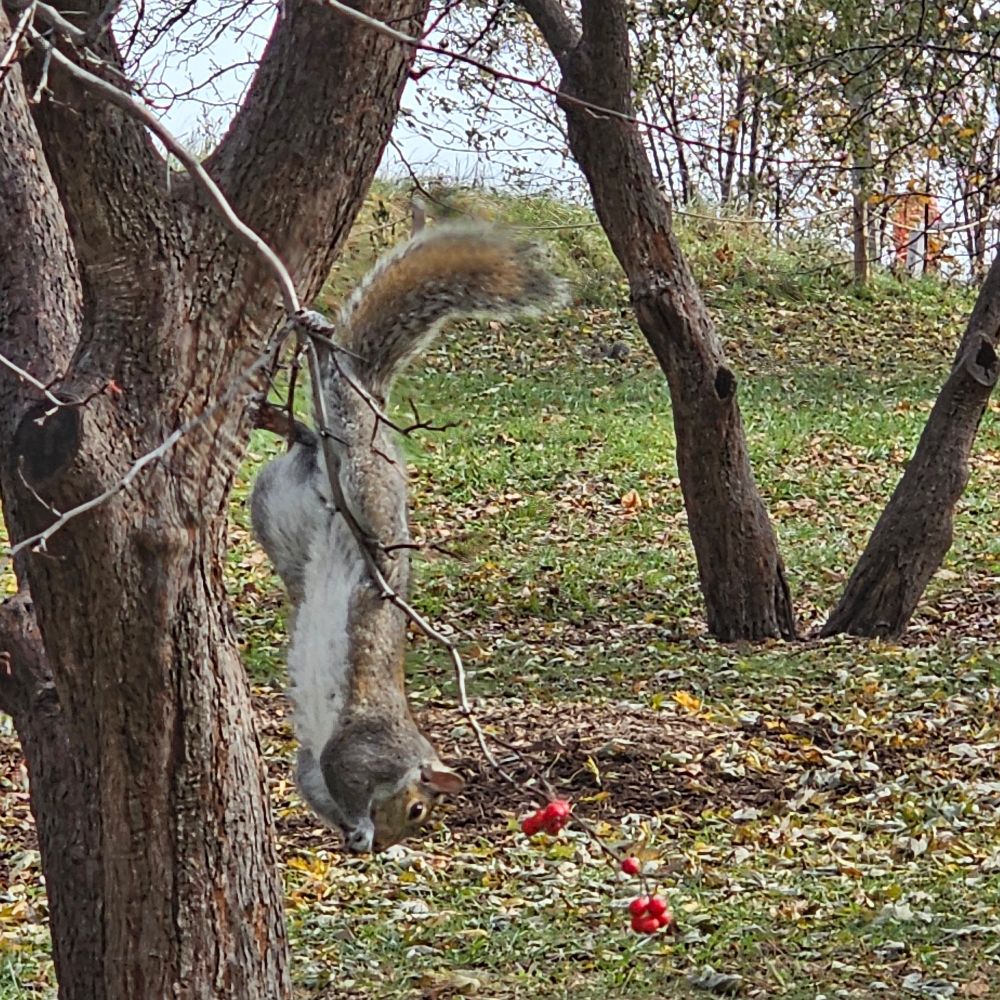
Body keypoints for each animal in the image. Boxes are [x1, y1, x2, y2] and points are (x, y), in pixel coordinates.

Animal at [250, 223, 566, 852]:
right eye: (418, 809)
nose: (377, 847)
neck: (404, 756)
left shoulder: (313, 770)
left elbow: (315, 788)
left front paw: (351, 834)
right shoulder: (358, 749)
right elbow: (342, 776)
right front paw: (362, 828)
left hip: (277, 505)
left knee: (305, 438)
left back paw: (277, 417)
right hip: (366, 481)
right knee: (338, 406)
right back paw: (316, 336)